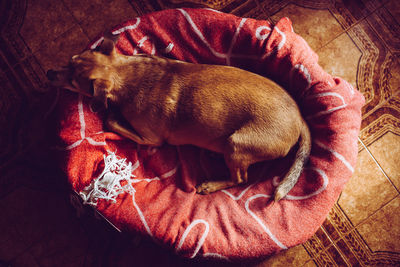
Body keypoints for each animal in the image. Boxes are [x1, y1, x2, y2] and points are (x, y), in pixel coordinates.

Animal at [46, 36, 310, 203]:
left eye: (73, 83)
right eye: (70, 59)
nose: (48, 73)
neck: (127, 74)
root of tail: (300, 118)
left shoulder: (150, 139)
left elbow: (112, 122)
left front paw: (110, 114)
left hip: (235, 144)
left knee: (240, 179)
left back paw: (211, 184)